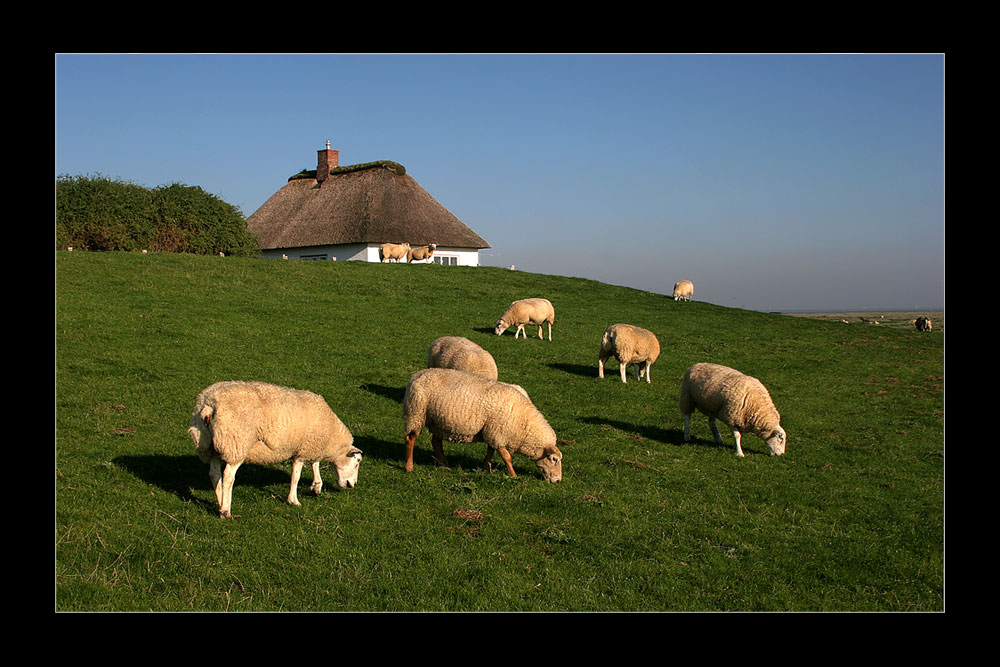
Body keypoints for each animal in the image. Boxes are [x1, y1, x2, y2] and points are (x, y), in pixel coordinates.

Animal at [188, 380, 364, 516]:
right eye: (357, 462)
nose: (353, 485)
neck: (331, 437)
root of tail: (208, 405)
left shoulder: (310, 446)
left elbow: (315, 464)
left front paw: (316, 486)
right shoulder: (302, 451)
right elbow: (296, 476)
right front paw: (293, 500)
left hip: (211, 445)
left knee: (214, 474)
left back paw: (219, 502)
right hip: (236, 443)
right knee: (228, 477)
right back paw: (225, 510)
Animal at [404, 368, 564, 482]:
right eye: (554, 459)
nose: (558, 481)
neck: (523, 423)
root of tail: (416, 375)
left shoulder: (492, 432)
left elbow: (490, 452)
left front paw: (487, 469)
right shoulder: (498, 434)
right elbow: (507, 457)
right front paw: (513, 475)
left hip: (438, 422)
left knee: (436, 442)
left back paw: (445, 465)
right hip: (416, 413)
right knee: (410, 439)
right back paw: (409, 467)